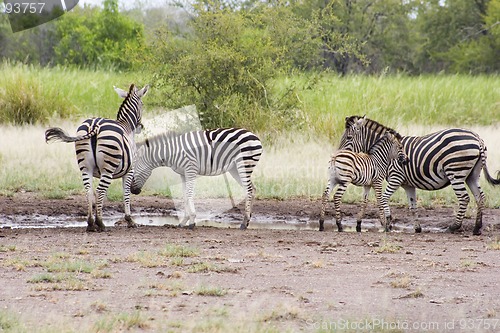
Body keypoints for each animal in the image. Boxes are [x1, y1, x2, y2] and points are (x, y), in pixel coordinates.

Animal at [45, 83, 148, 231]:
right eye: (143, 104)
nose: (141, 127)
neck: (127, 126)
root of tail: (95, 126)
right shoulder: (130, 170)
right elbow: (126, 193)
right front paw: (130, 220)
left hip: (85, 167)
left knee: (89, 191)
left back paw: (90, 223)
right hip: (108, 168)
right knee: (99, 191)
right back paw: (100, 223)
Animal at [129, 127, 264, 228]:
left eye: (133, 170)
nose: (132, 191)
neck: (172, 152)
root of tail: (254, 135)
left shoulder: (190, 170)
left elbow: (189, 195)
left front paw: (192, 221)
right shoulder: (183, 174)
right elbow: (184, 196)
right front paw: (183, 222)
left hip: (244, 164)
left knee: (249, 189)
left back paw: (244, 223)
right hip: (235, 168)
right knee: (253, 189)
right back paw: (247, 220)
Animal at [340, 115, 500, 235]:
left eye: (348, 138)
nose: (340, 154)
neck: (386, 152)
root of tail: (477, 138)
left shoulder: (396, 177)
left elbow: (383, 198)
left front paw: (388, 223)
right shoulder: (408, 184)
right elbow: (412, 206)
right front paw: (417, 228)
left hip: (455, 171)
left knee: (464, 198)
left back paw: (454, 227)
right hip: (472, 175)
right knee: (480, 197)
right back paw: (477, 228)